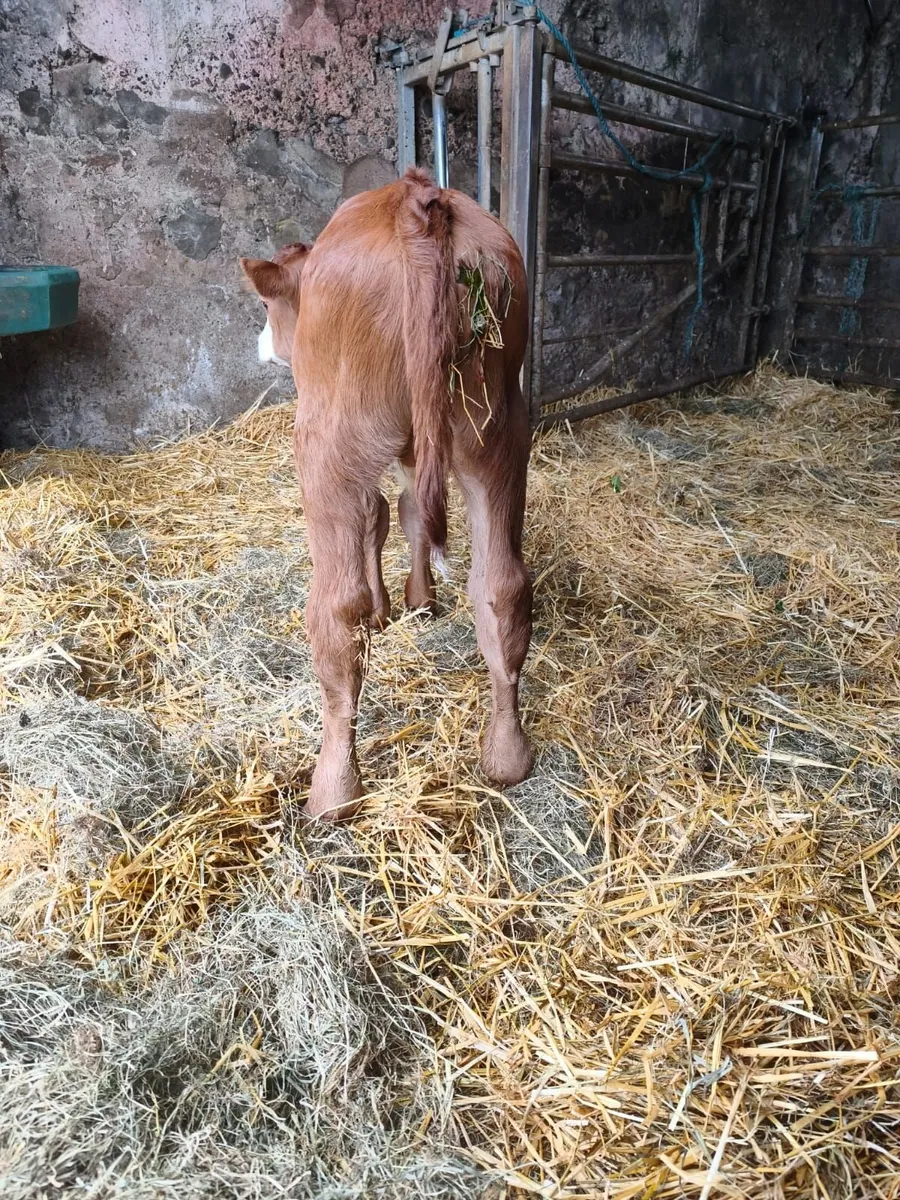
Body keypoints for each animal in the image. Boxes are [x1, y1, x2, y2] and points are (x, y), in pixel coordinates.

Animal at [240, 168, 533, 820]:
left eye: (267, 305)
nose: (261, 346)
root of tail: (415, 203)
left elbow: (376, 518)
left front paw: (384, 609)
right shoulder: (414, 449)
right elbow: (410, 513)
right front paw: (417, 600)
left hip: (326, 444)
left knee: (334, 612)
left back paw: (333, 789)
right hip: (497, 428)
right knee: (501, 585)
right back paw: (507, 756)